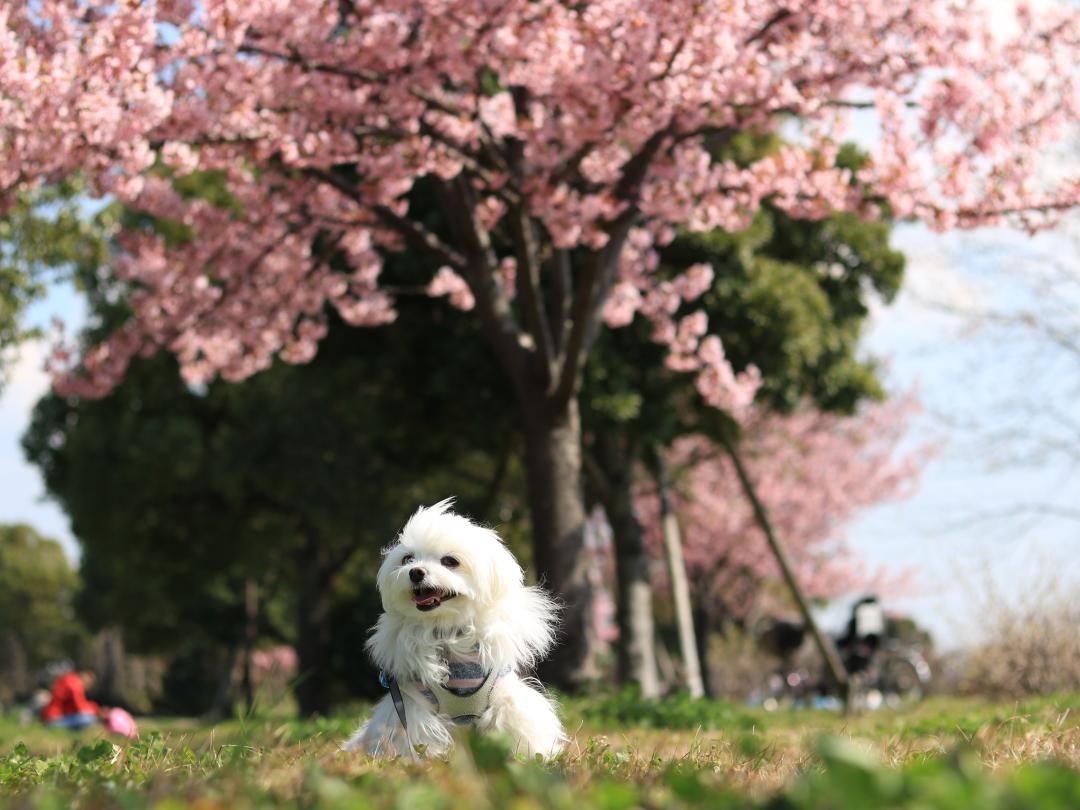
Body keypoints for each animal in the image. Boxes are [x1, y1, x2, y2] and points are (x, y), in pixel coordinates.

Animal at [343, 501, 565, 760]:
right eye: (408, 559)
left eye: (450, 561)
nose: (415, 572)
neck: (445, 629)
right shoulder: (410, 701)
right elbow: (411, 731)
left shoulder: (503, 695)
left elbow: (516, 721)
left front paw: (529, 756)